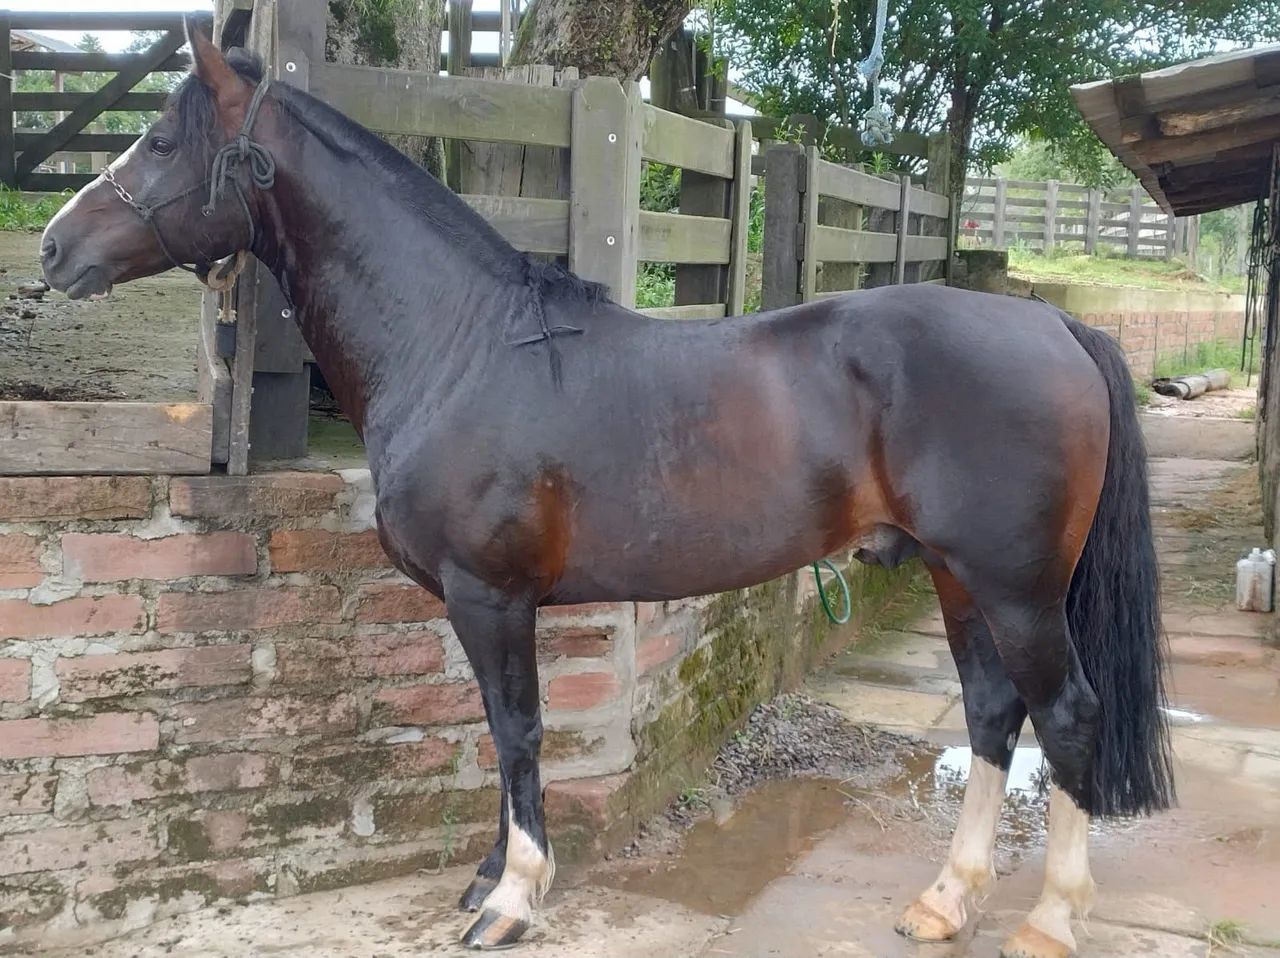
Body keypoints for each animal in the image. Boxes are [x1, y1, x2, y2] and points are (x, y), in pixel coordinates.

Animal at [40, 25, 1173, 956]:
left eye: (162, 143)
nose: (52, 246)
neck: (459, 345)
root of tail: (1051, 323)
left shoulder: (489, 596)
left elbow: (516, 731)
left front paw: (511, 898)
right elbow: (498, 734)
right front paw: (489, 876)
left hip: (1016, 588)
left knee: (1066, 714)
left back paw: (1046, 920)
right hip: (955, 577)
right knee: (990, 712)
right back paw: (944, 899)